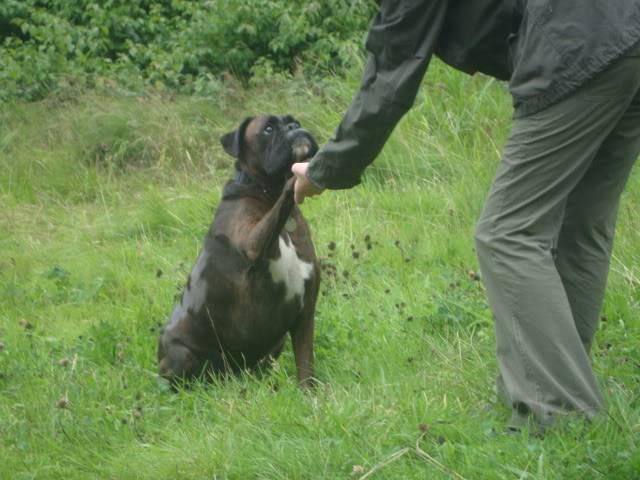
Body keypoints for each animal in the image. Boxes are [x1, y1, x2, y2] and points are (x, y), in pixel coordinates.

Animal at [158, 115, 322, 386]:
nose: (294, 128)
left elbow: (306, 365)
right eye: (268, 128)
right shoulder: (253, 243)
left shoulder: (305, 314)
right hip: (182, 354)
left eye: (294, 121)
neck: (265, 193)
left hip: (274, 345)